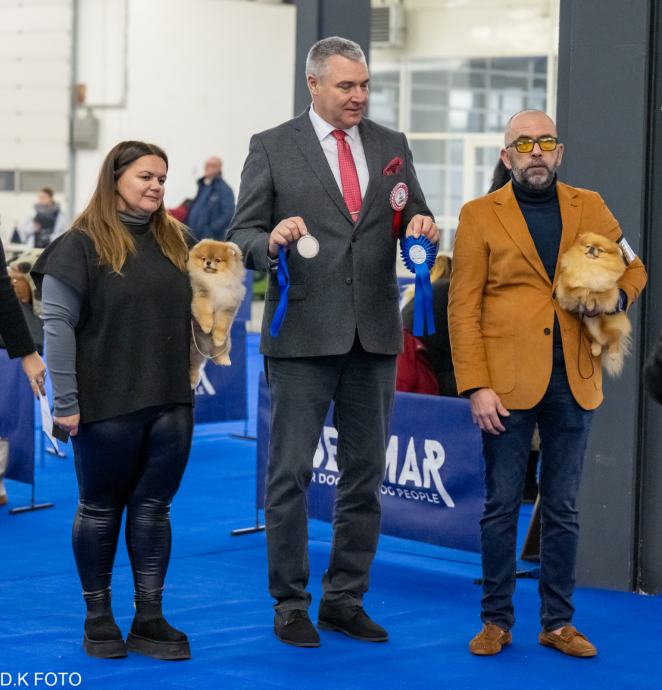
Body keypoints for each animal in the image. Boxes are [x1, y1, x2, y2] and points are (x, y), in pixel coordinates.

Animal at [187, 239, 246, 387]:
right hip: (193, 348)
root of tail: (206, 347)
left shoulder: (227, 307)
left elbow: (221, 325)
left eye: (217, 260)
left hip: (227, 341)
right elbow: (205, 314)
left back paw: (224, 360)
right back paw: (193, 381)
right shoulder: (202, 296)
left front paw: (218, 338)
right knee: (194, 366)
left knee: (219, 351)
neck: (215, 280)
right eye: (204, 258)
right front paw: (207, 327)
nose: (208, 262)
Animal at [556, 232, 631, 376]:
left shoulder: (608, 291)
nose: (592, 249)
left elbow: (595, 293)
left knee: (614, 339)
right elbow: (578, 289)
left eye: (600, 250)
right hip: (588, 327)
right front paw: (584, 293)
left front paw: (590, 303)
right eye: (588, 246)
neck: (589, 266)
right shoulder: (565, 287)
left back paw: (613, 353)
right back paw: (595, 349)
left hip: (611, 324)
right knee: (598, 340)